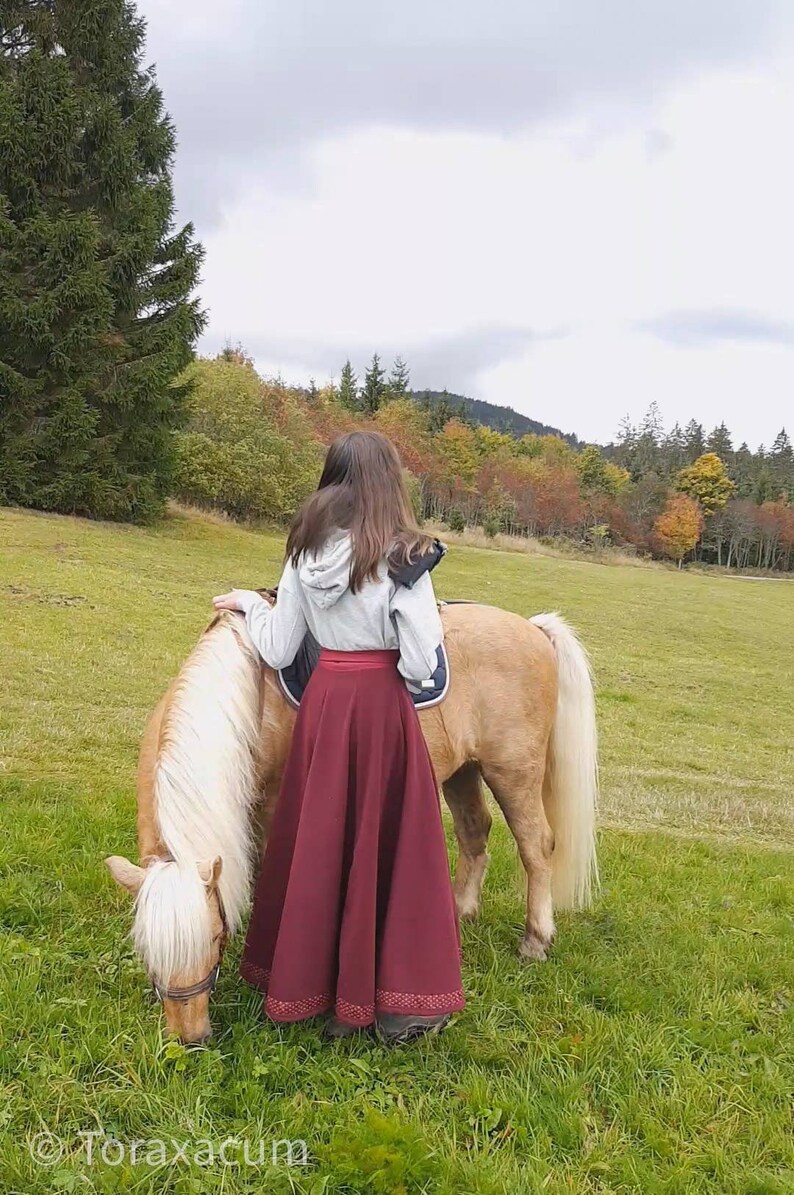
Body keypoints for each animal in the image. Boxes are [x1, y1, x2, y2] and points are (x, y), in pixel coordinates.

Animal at [105, 602, 595, 1042]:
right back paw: (460, 915)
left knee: (536, 846)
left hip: (513, 774)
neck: (251, 700)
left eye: (213, 938)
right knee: (475, 832)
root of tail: (533, 629)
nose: (189, 1036)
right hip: (464, 771)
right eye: (146, 950)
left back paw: (536, 940)